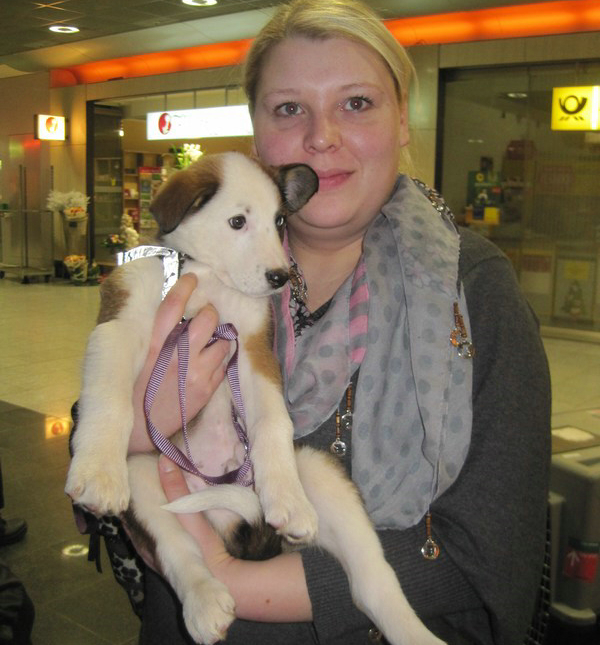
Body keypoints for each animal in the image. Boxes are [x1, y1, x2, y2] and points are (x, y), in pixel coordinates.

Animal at [65, 152, 445, 645]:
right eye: (237, 221)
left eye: (280, 220)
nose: (281, 277)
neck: (208, 277)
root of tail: (227, 514)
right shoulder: (119, 327)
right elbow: (109, 394)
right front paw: (95, 471)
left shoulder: (253, 351)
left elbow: (271, 421)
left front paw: (284, 493)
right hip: (145, 475)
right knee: (181, 551)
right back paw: (205, 602)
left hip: (318, 470)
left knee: (372, 583)